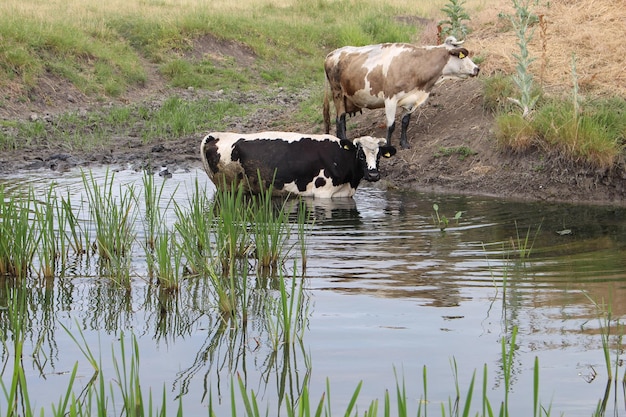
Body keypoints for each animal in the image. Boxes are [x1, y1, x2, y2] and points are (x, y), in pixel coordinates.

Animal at [200, 131, 394, 197]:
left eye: (379, 155)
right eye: (360, 154)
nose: (373, 174)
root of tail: (217, 136)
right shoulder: (322, 193)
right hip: (227, 187)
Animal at [322, 41, 478, 149]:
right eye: (462, 57)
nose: (477, 68)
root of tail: (332, 54)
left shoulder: (411, 100)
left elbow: (405, 123)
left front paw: (404, 143)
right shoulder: (390, 99)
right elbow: (391, 125)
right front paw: (388, 146)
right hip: (337, 92)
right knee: (340, 119)